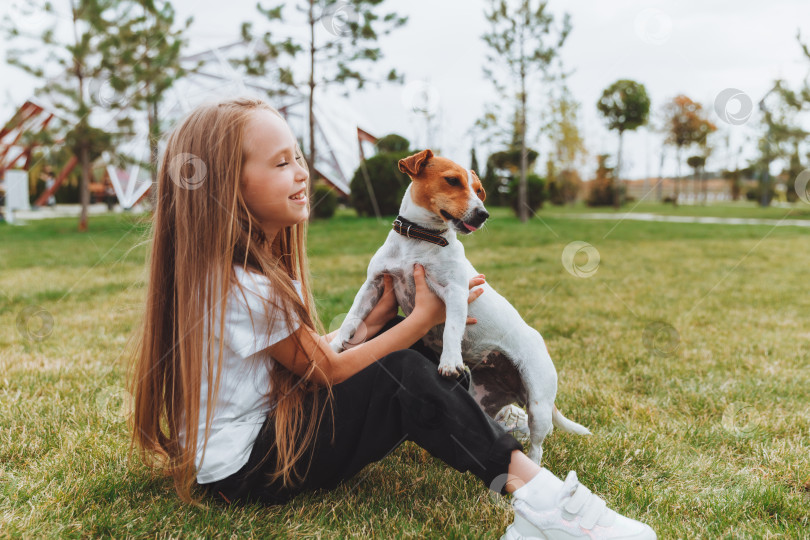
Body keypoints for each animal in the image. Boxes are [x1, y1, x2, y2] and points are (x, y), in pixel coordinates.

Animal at [328, 150, 588, 462]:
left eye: (479, 191)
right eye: (452, 181)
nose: (483, 213)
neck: (419, 239)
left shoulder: (454, 293)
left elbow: (452, 329)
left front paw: (450, 362)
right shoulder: (374, 284)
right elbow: (352, 317)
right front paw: (334, 347)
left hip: (538, 405)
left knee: (537, 447)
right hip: (482, 399)